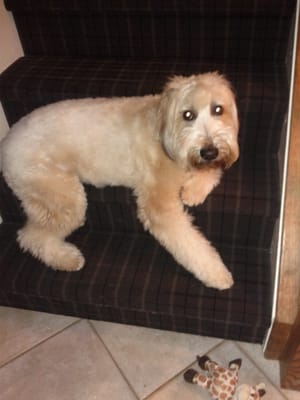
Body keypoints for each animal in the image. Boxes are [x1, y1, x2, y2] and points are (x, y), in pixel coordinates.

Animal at [0, 72, 239, 290]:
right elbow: (191, 244)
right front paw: (216, 273)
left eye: (218, 109)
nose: (210, 151)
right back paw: (67, 259)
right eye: (187, 115)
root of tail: (6, 141)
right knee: (31, 237)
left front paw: (194, 190)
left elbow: (210, 171)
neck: (165, 131)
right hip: (60, 197)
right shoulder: (158, 206)